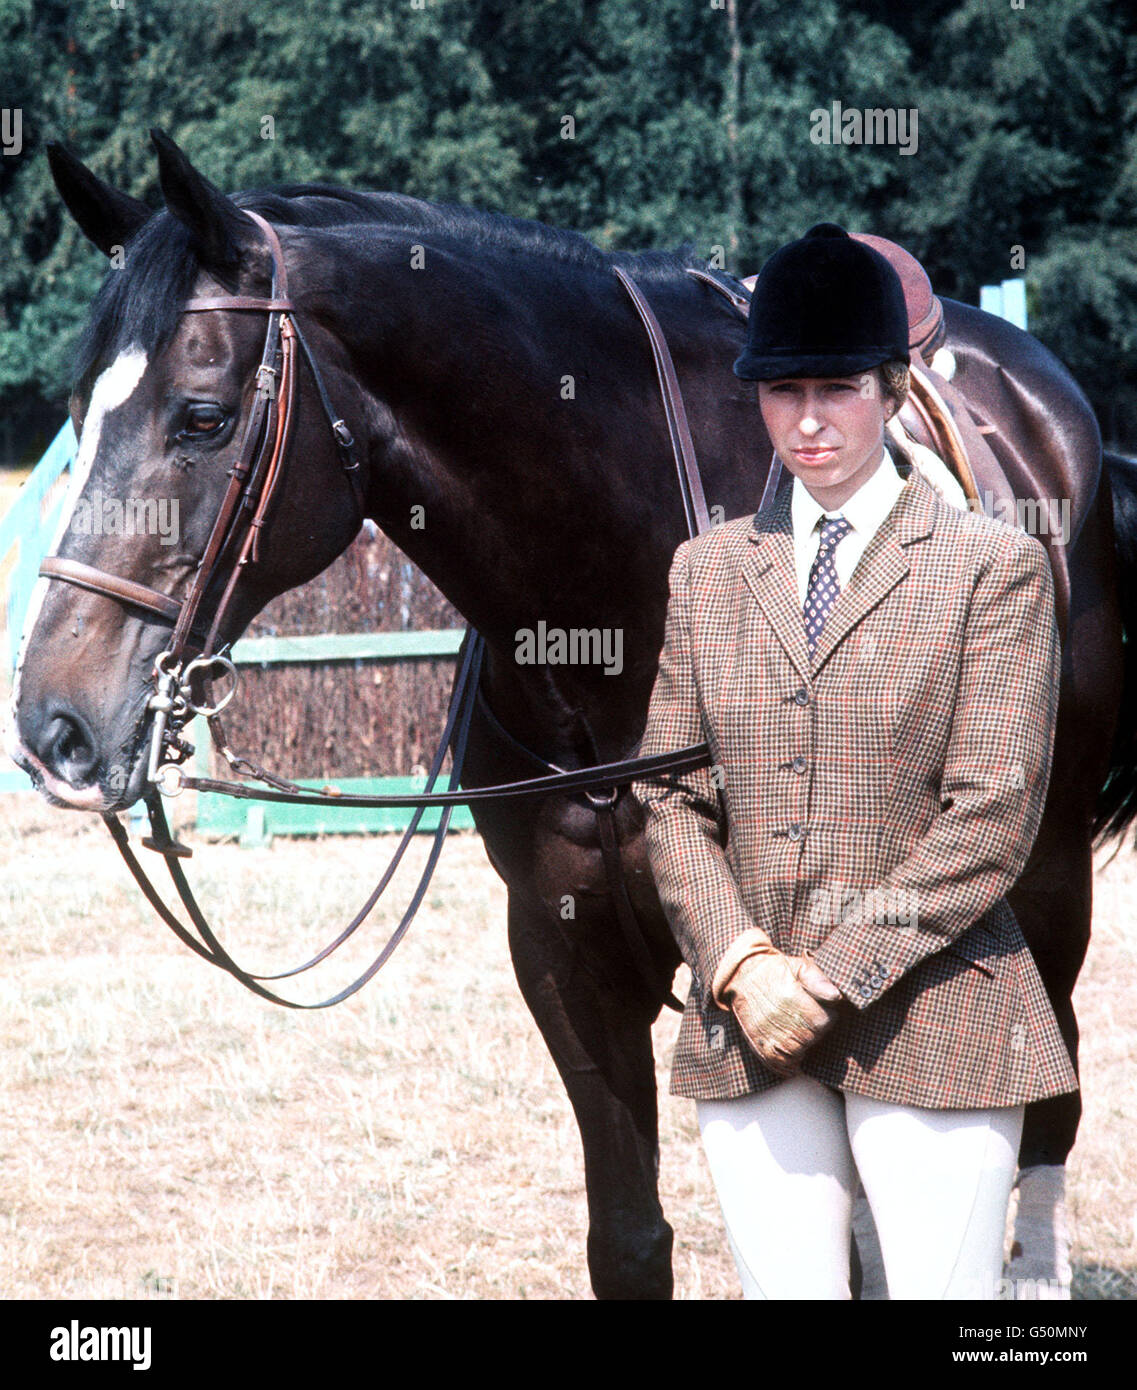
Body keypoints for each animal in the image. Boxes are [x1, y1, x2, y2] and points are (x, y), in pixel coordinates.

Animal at [11, 130, 1134, 1289]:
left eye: (202, 418)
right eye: (76, 418)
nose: (57, 726)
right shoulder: (565, 951)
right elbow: (632, 1240)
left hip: (1042, 882)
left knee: (1044, 1091)